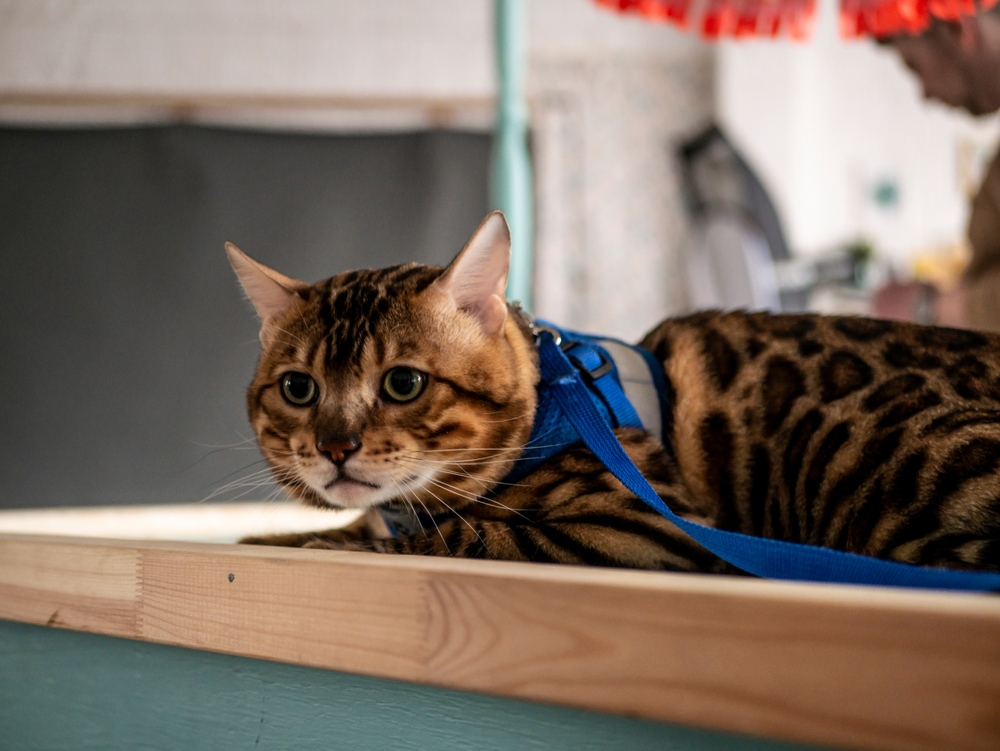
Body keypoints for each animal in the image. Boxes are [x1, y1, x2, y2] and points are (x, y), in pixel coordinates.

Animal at [227, 212, 1000, 576]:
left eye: (403, 383)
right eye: (298, 388)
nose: (334, 446)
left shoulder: (643, 524)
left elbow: (466, 531)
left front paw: (318, 546)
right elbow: (364, 523)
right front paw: (280, 533)